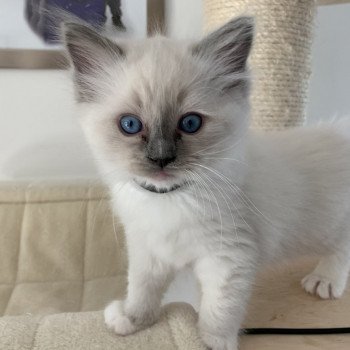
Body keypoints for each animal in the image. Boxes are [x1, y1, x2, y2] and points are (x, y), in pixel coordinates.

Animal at [64, 16, 350, 350]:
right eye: (130, 125)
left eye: (190, 123)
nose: (161, 159)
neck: (168, 198)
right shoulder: (148, 249)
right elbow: (143, 289)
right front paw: (132, 320)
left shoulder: (228, 260)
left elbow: (218, 311)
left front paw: (210, 342)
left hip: (330, 225)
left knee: (343, 247)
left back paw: (325, 280)